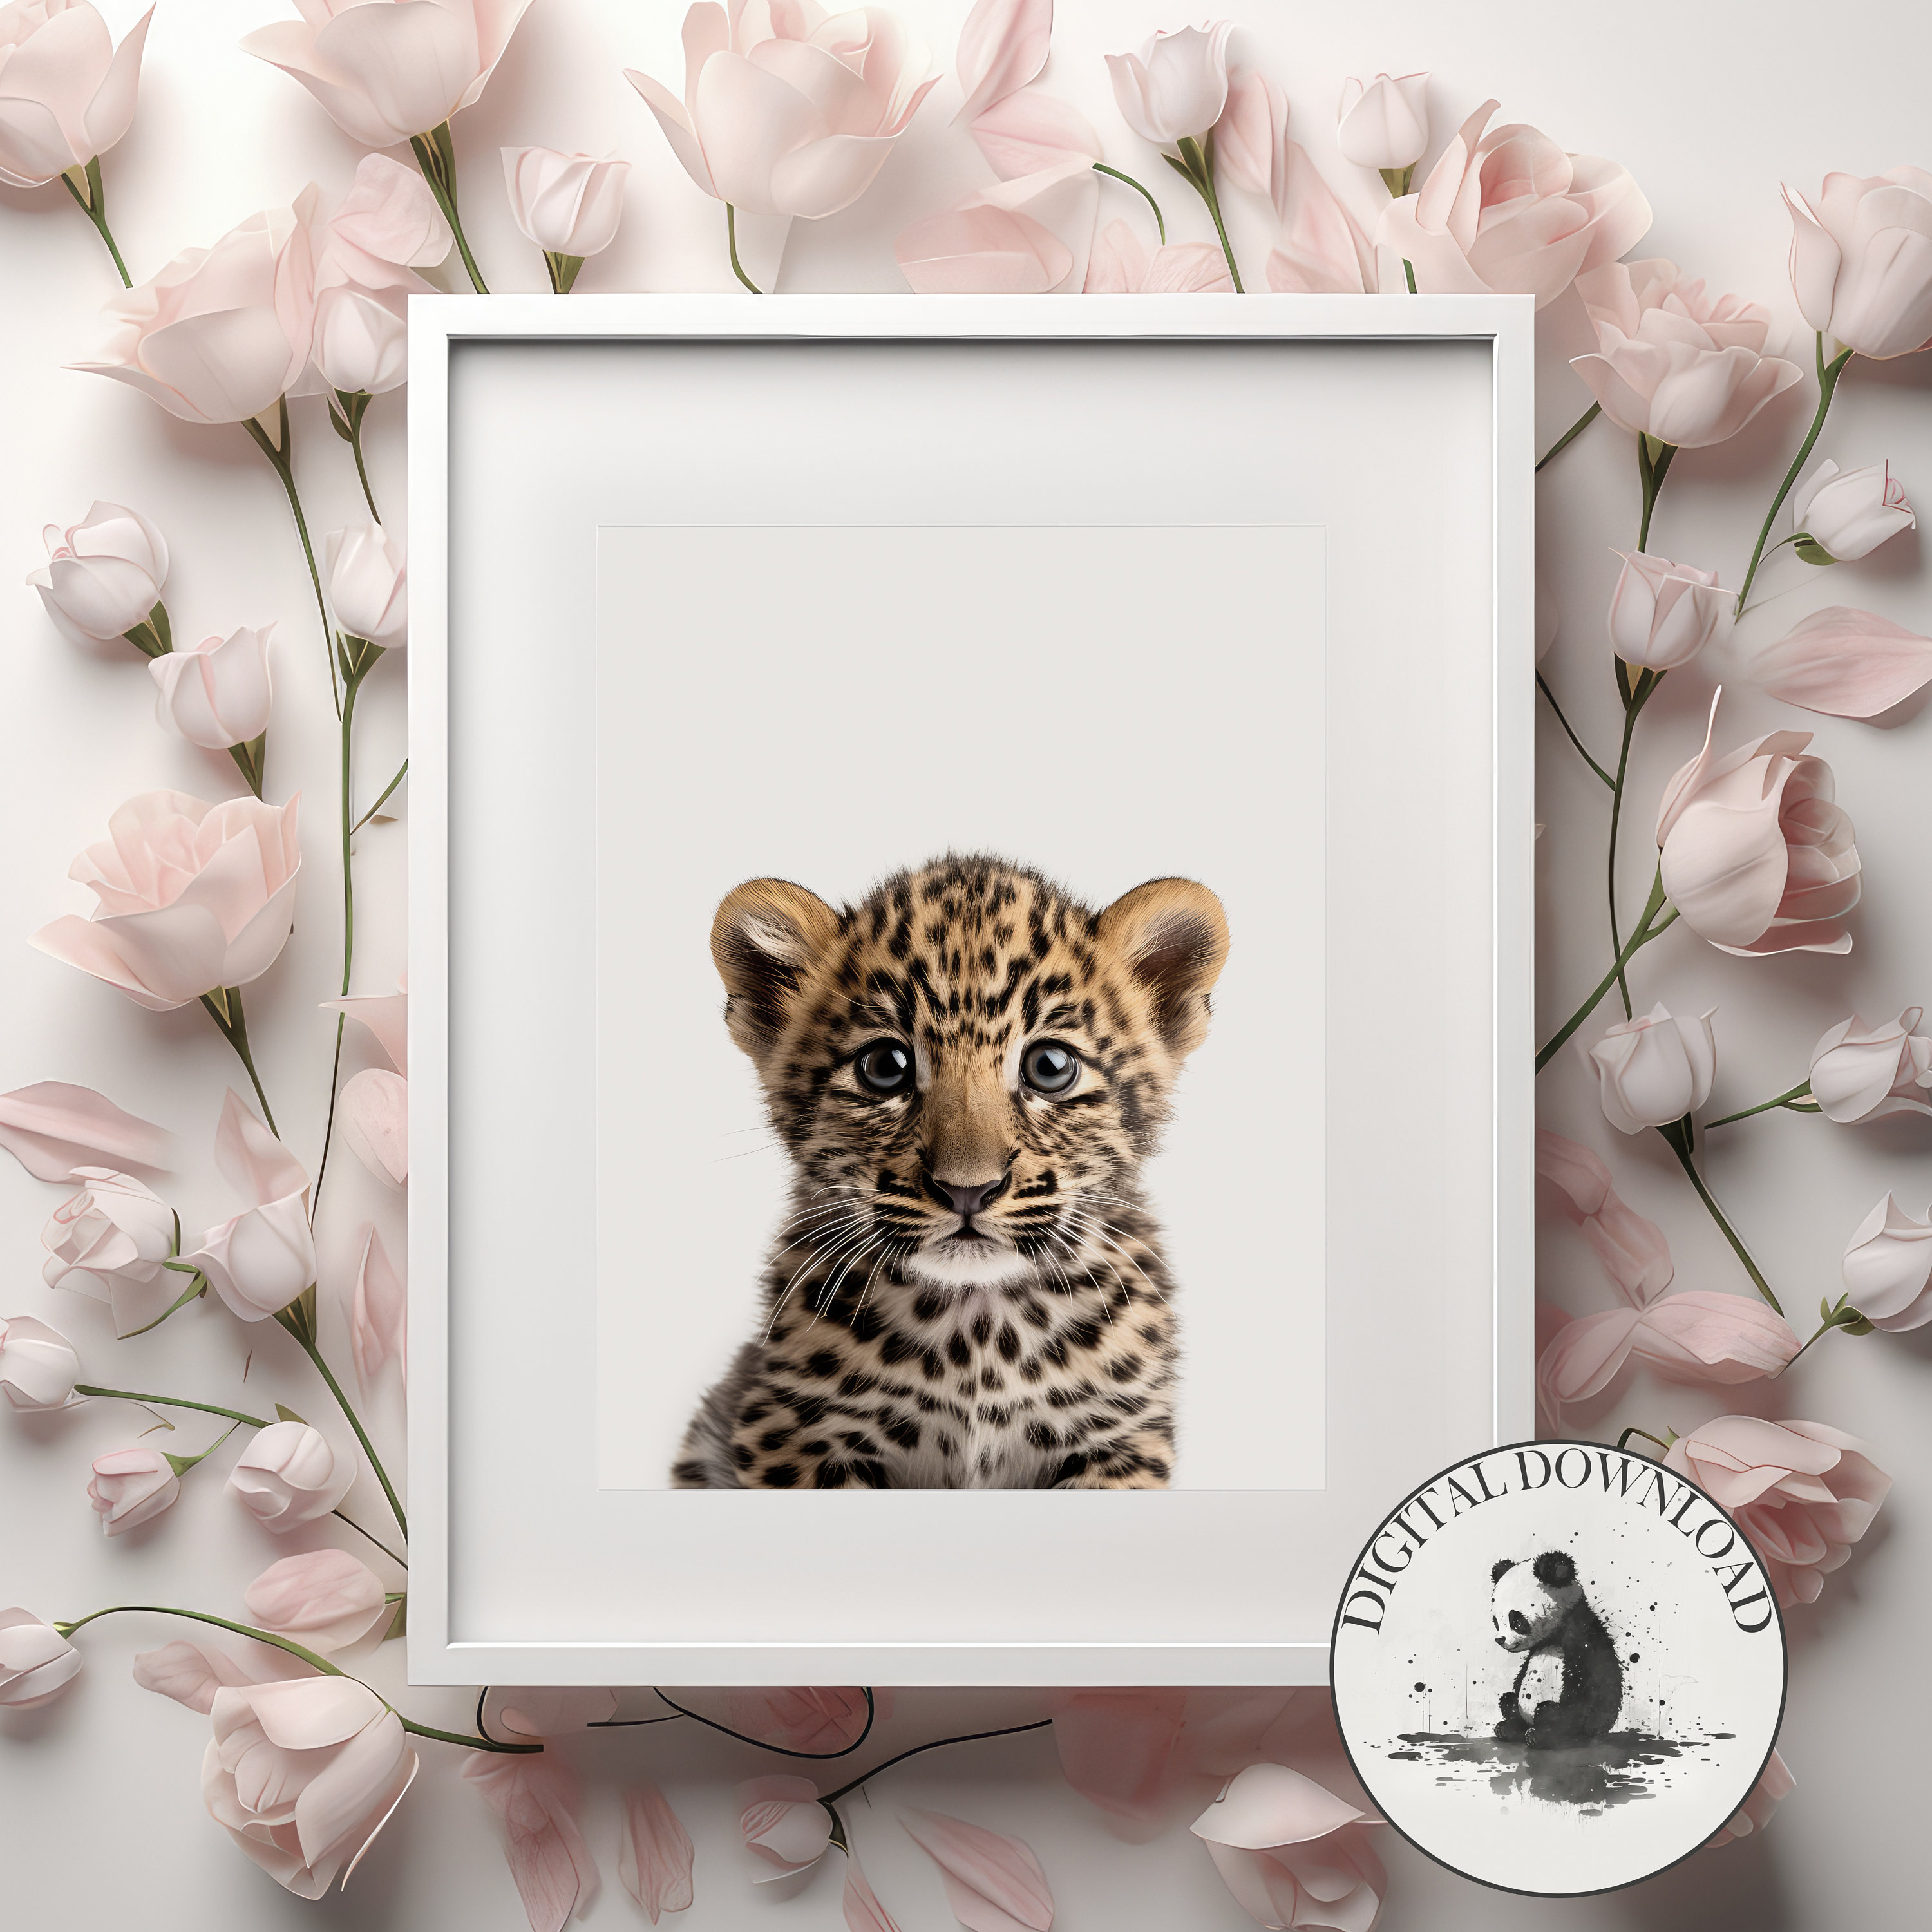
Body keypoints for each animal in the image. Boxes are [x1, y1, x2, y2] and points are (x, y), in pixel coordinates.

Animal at [671, 853, 1229, 1490]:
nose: (968, 1190)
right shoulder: (796, 1431)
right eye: (884, 1066)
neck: (981, 1340)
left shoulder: (1120, 1437)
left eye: (1050, 1067)